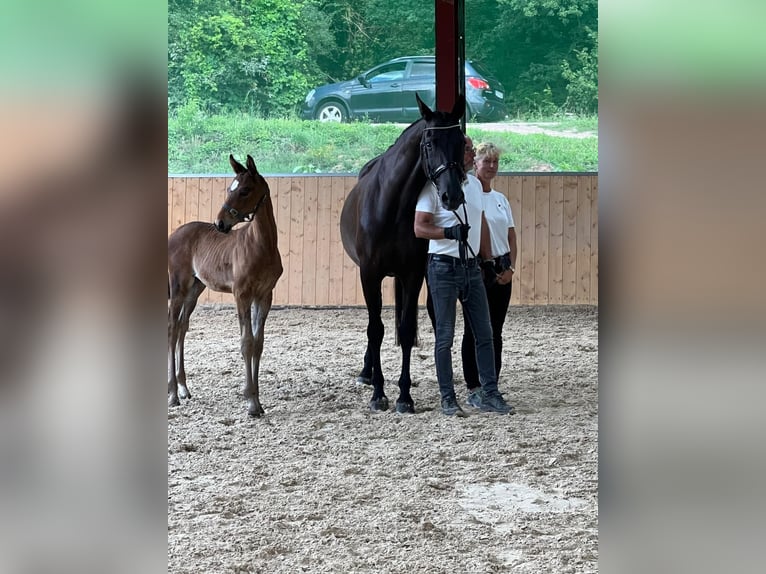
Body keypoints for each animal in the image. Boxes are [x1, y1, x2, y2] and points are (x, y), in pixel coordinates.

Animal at [168, 154, 283, 417]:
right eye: (230, 188)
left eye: (245, 190)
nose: (220, 223)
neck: (261, 246)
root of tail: (173, 235)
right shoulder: (242, 294)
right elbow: (246, 343)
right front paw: (251, 402)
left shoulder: (264, 296)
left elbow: (258, 343)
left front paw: (258, 400)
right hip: (178, 287)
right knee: (171, 329)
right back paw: (172, 394)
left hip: (195, 289)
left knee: (182, 327)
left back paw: (183, 388)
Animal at [339, 93, 467, 413]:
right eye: (430, 142)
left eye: (460, 141)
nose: (452, 196)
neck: (392, 203)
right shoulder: (369, 274)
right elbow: (375, 330)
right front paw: (378, 394)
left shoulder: (412, 274)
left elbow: (406, 330)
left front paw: (404, 396)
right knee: (374, 327)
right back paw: (367, 372)